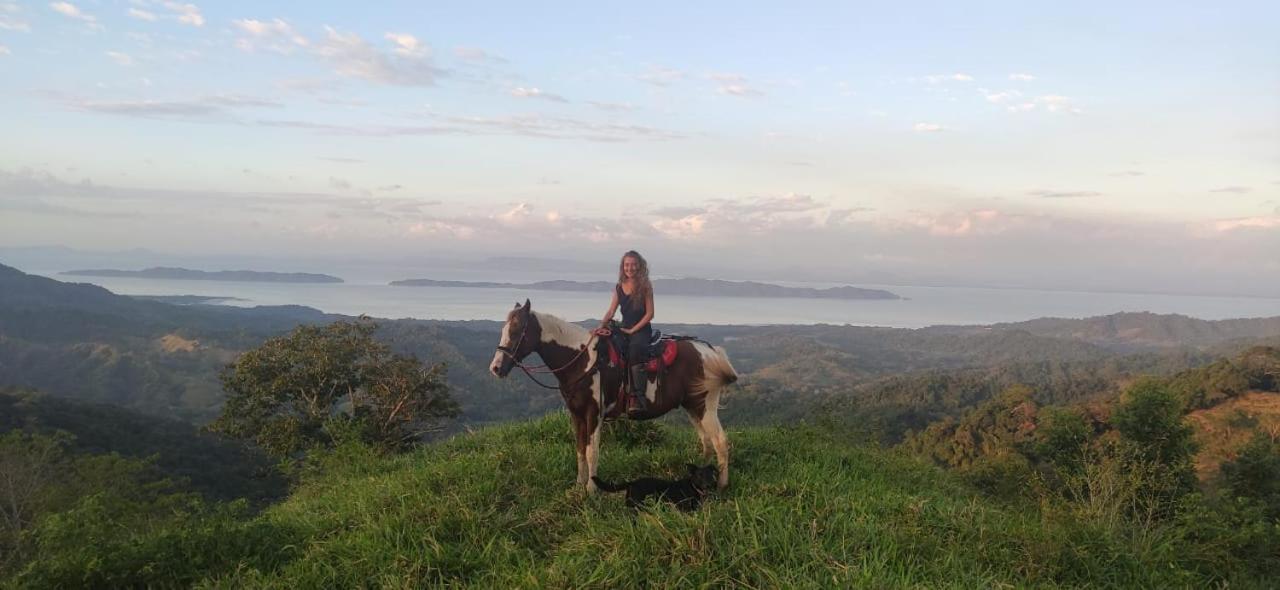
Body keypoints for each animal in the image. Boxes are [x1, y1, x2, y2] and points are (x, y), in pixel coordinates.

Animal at [486, 300, 742, 488]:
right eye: (503, 329)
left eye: (517, 330)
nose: (496, 368)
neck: (583, 360)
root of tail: (710, 351)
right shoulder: (576, 414)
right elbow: (580, 449)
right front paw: (578, 487)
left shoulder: (594, 413)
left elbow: (592, 452)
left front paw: (591, 490)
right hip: (692, 407)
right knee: (706, 441)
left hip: (704, 405)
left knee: (720, 441)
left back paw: (721, 485)